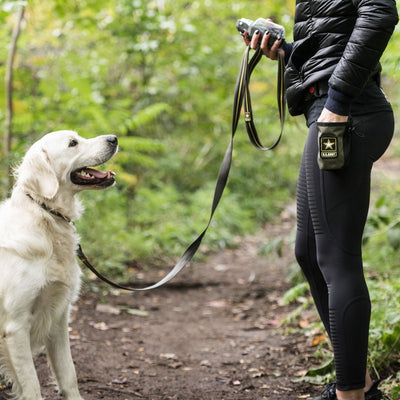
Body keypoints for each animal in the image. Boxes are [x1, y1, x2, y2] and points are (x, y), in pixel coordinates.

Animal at [0, 130, 118, 398]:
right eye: (73, 143)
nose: (114, 138)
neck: (45, 215)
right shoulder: (15, 326)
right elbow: (32, 385)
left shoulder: (58, 316)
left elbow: (68, 374)